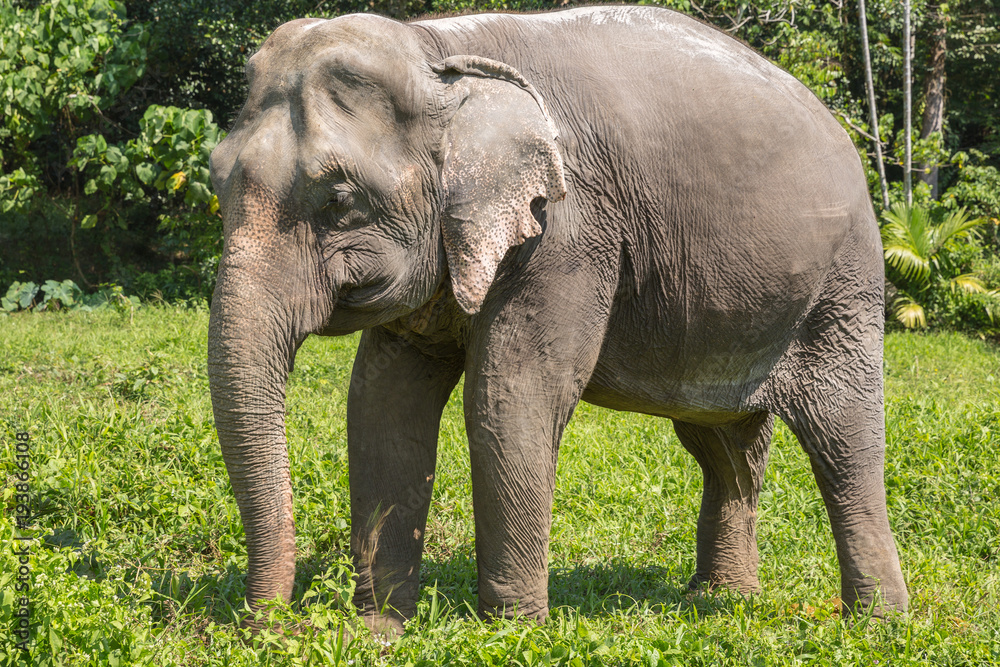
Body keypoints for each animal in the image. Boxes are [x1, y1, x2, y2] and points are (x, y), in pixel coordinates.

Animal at [207, 5, 908, 634]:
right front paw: (377, 632)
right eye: (215, 181)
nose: (270, 628)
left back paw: (877, 622)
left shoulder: (568, 230)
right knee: (723, 444)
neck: (438, 50)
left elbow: (509, 399)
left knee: (842, 437)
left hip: (842, 287)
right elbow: (383, 401)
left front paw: (511, 634)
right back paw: (724, 600)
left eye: (340, 200)